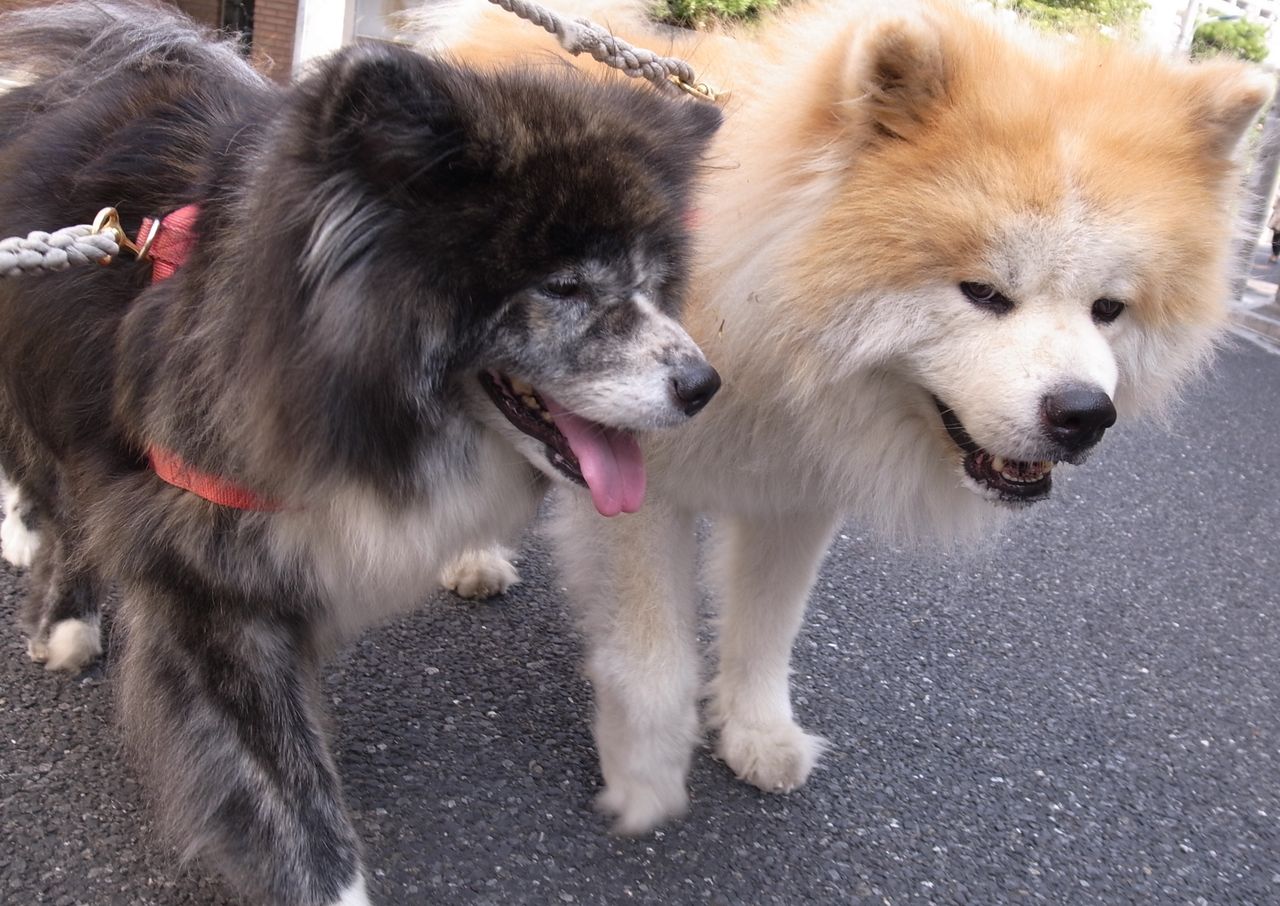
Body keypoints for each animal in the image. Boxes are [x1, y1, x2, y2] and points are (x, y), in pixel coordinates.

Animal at [0, 3, 721, 900]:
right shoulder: (212, 592)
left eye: (654, 282)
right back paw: (54, 596)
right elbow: (295, 801)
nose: (704, 386)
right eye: (564, 287)